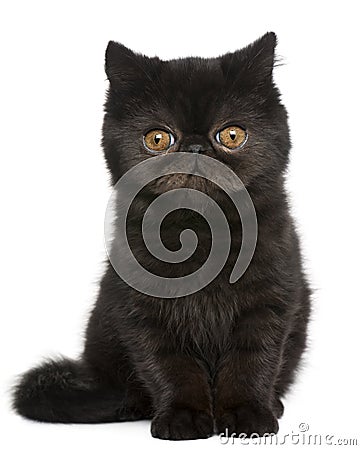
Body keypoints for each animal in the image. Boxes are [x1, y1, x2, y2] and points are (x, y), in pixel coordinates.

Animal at [12, 33, 310, 442]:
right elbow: (170, 365)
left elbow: (253, 359)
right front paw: (183, 417)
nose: (196, 149)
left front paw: (246, 414)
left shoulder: (269, 300)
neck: (201, 235)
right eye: (157, 138)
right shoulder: (142, 311)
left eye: (232, 135)